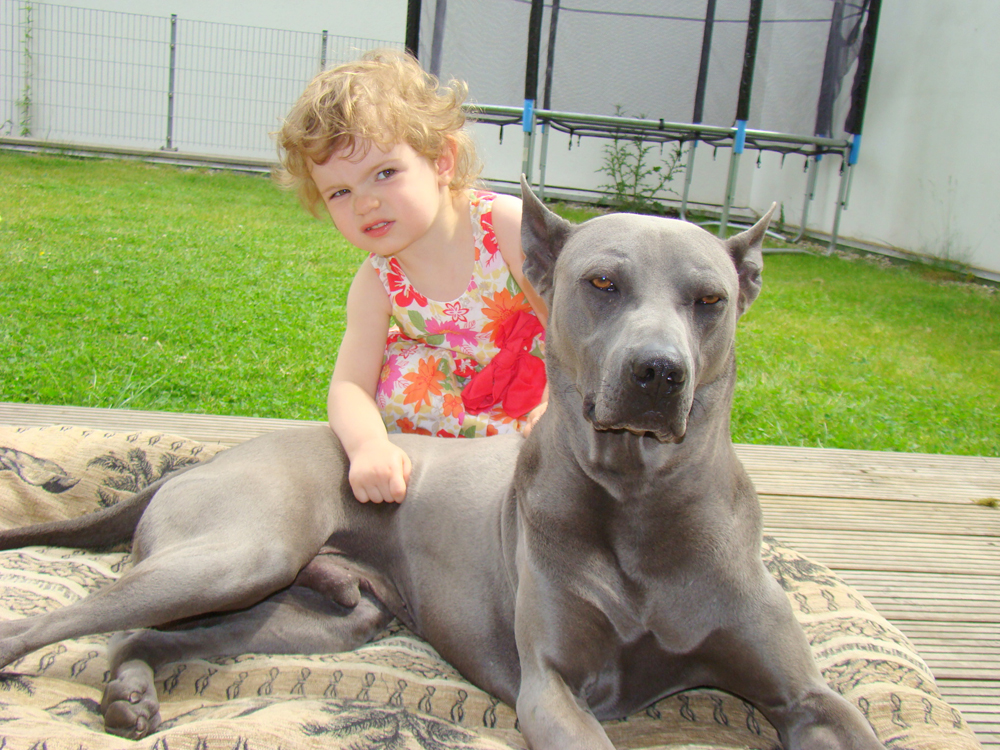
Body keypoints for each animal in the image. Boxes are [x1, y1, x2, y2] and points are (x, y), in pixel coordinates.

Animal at [0, 180, 884, 750]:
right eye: (602, 282)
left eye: (710, 300)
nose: (658, 371)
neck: (639, 502)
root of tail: (192, 465)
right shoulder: (551, 691)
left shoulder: (811, 696)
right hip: (241, 554)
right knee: (45, 623)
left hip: (328, 614)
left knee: (142, 636)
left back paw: (129, 691)